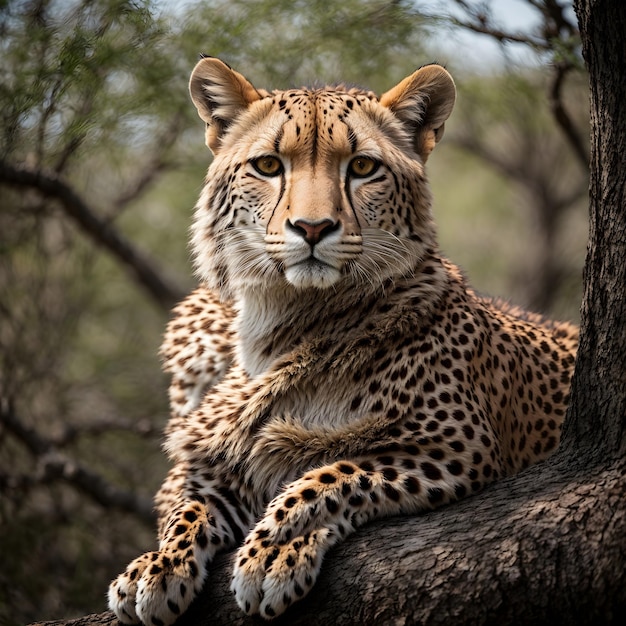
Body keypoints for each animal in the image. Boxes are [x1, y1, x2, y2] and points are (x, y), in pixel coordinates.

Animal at [107, 56, 576, 620]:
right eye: (269, 166)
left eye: (363, 167)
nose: (312, 228)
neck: (287, 320)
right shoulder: (216, 461)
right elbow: (188, 504)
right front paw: (156, 565)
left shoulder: (458, 445)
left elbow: (334, 472)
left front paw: (276, 548)